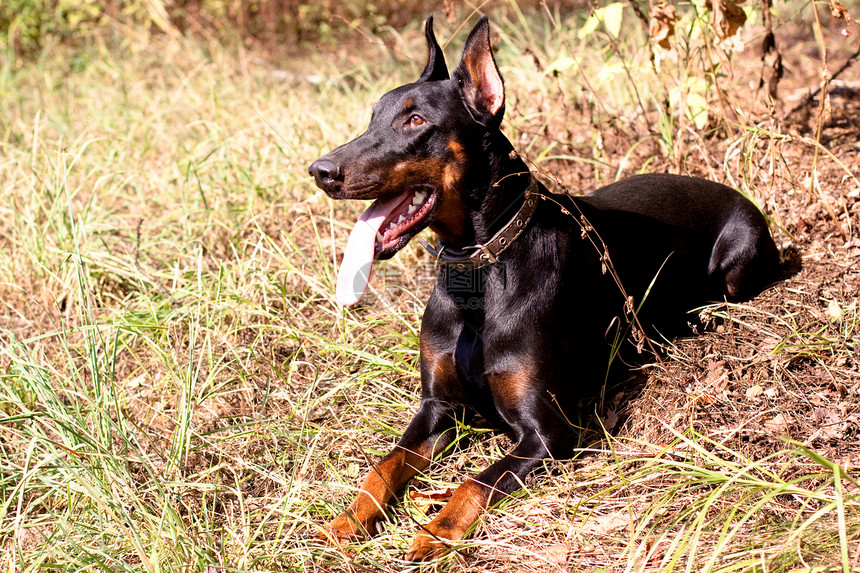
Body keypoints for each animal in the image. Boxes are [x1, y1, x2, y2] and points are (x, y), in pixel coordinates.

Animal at [308, 15, 780, 560]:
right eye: (372, 118)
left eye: (416, 121)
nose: (320, 171)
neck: (478, 279)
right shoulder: (438, 407)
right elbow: (381, 466)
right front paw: (345, 521)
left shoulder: (548, 434)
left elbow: (474, 481)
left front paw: (435, 531)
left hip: (739, 260)